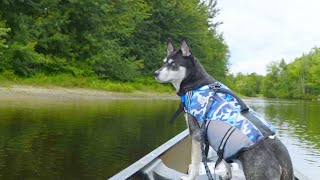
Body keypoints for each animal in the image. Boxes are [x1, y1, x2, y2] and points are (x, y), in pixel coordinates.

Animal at [154, 38, 294, 180]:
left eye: (173, 64)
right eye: (164, 62)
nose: (155, 73)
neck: (196, 83)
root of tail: (282, 157)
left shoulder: (196, 135)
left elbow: (195, 163)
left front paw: (190, 177)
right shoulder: (220, 145)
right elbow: (226, 162)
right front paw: (227, 175)